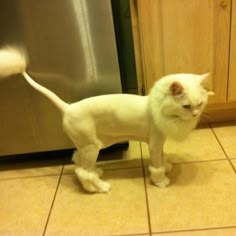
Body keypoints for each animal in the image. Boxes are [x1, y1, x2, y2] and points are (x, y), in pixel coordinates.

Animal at [0, 47, 212, 193]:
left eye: (200, 104)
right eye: (186, 106)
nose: (195, 115)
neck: (158, 106)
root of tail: (68, 107)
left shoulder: (160, 143)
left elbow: (162, 157)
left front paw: (167, 167)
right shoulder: (154, 143)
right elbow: (156, 164)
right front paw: (160, 181)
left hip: (86, 146)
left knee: (79, 163)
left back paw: (97, 174)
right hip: (91, 146)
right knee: (83, 172)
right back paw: (99, 187)